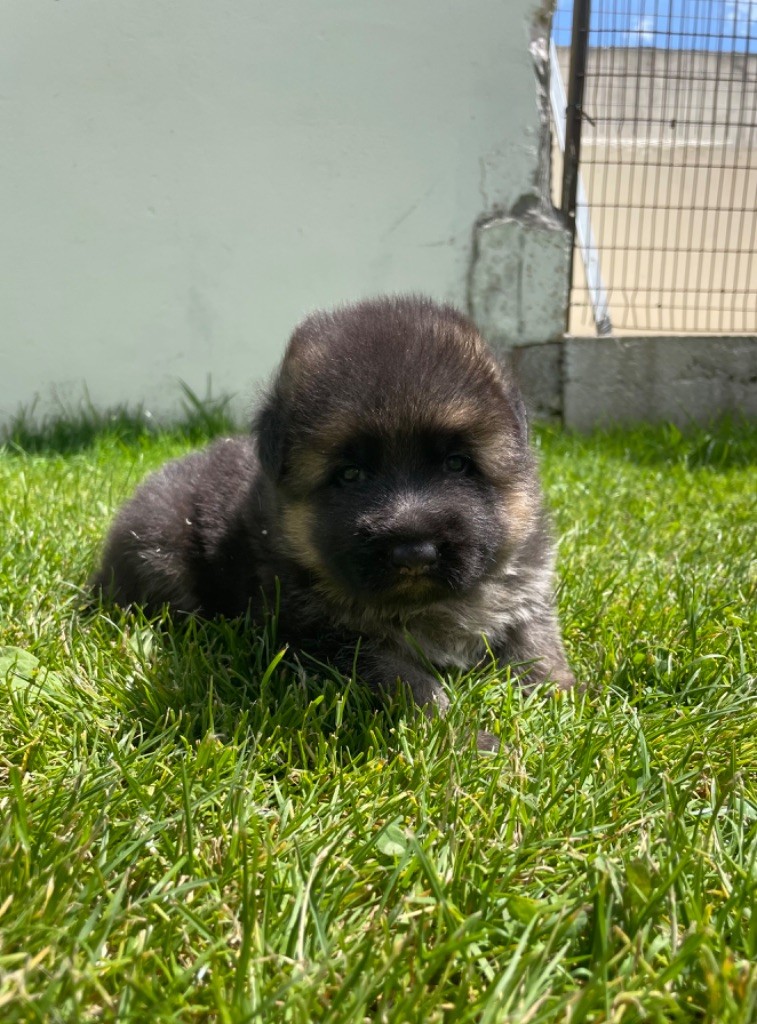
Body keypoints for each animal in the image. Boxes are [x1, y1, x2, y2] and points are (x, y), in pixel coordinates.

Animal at [93, 296, 573, 745]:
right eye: (350, 474)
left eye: (457, 463)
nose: (414, 553)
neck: (427, 606)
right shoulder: (328, 638)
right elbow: (408, 682)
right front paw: (457, 735)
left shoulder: (526, 593)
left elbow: (539, 647)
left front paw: (566, 699)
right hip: (162, 558)